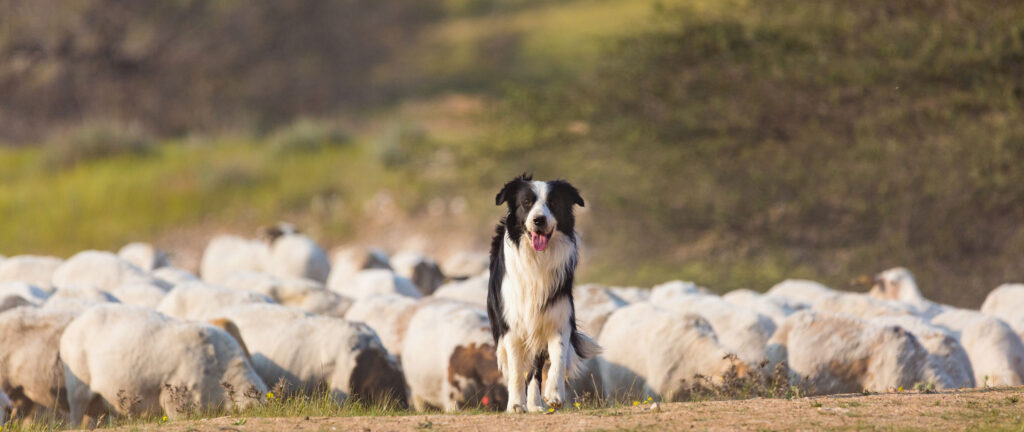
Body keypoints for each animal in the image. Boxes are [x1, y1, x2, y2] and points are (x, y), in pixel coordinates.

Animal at [485, 174, 598, 413]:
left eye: (553, 203)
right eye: (526, 203)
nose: (539, 220)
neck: (538, 259)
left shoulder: (557, 318)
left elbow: (557, 358)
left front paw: (554, 394)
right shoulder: (512, 325)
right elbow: (516, 371)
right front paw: (515, 405)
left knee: (536, 370)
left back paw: (535, 404)